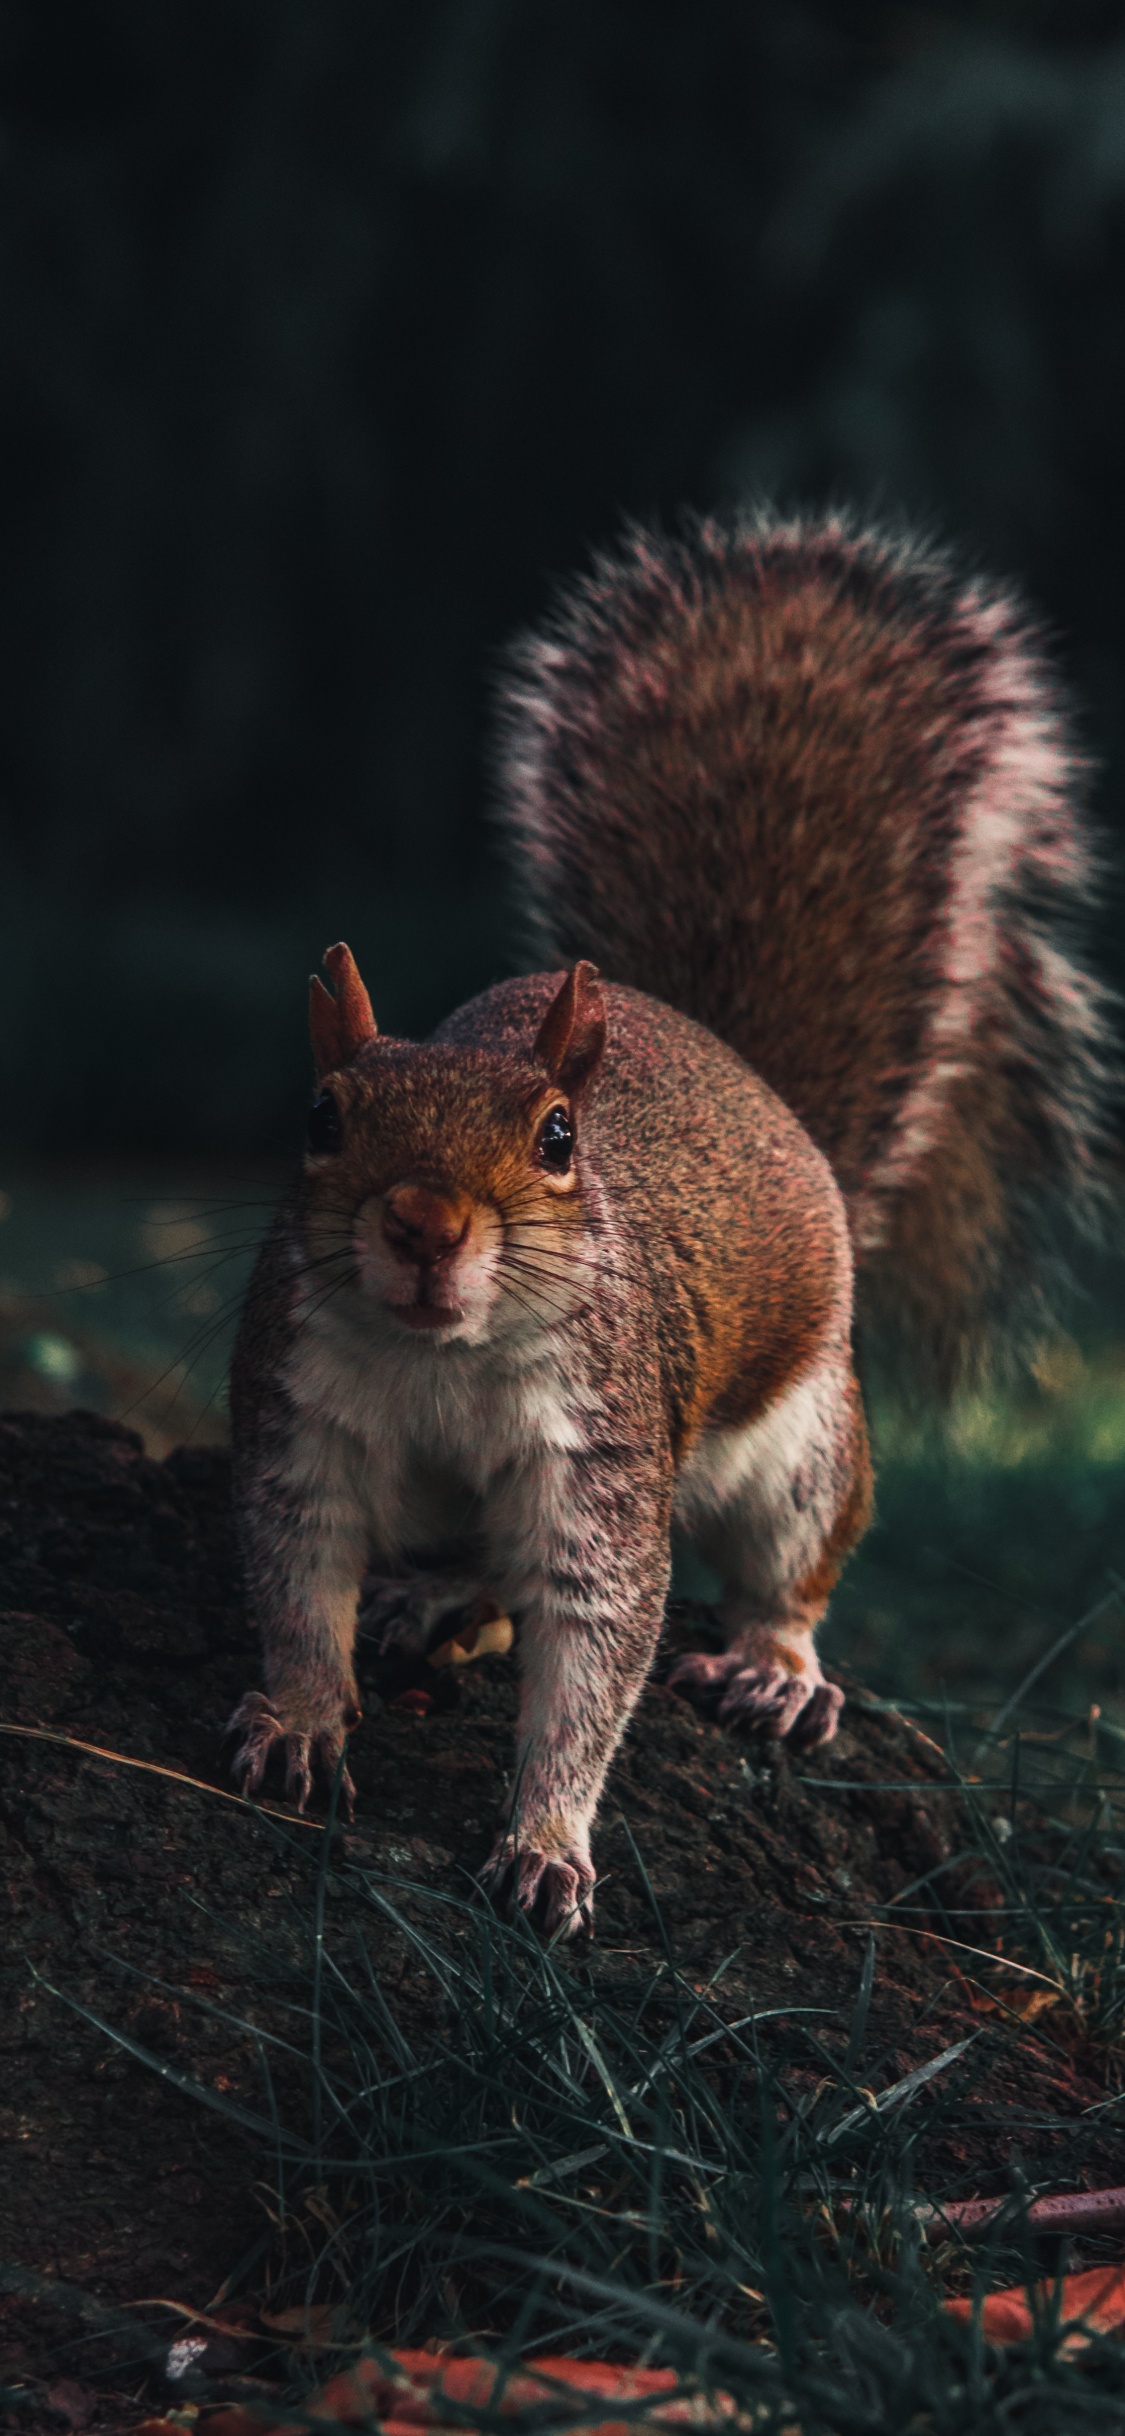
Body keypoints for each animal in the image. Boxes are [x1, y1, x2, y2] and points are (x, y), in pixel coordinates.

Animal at [227, 508, 1112, 1936]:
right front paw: (304, 1720)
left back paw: (774, 1667)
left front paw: (546, 1839)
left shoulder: (606, 1453)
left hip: (804, 1441)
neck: (441, 1358)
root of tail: (759, 1094)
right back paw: (443, 1595)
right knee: (481, 1570)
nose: (422, 1222)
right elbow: (298, 1579)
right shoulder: (296, 1414)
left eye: (557, 1140)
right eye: (320, 1115)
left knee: (791, 1562)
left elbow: (597, 1648)